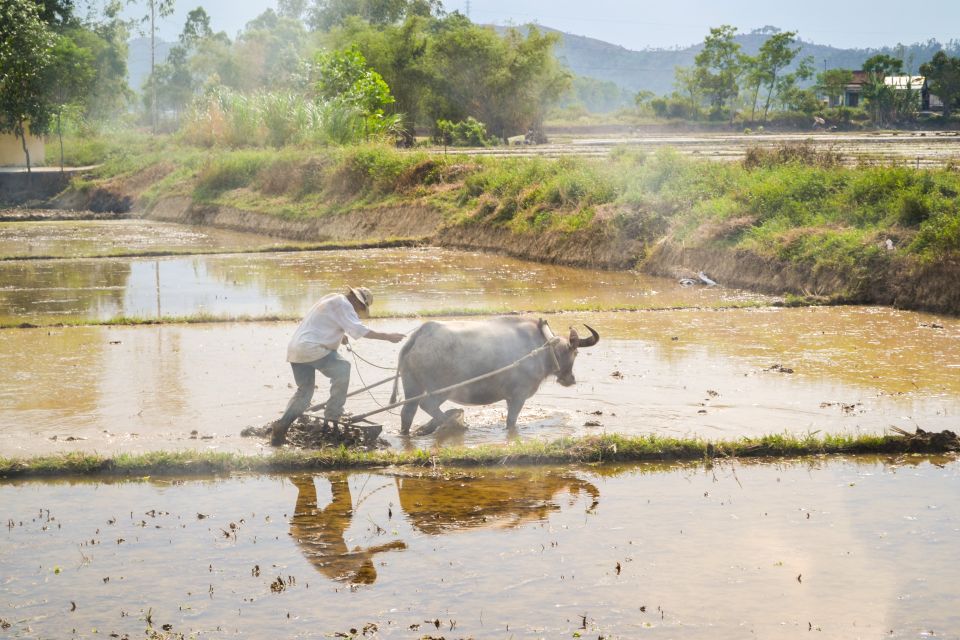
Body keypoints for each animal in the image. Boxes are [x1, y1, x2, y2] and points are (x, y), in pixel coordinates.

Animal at [386, 316, 596, 436]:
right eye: (575, 353)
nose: (570, 379)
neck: (541, 348)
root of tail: (419, 336)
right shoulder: (518, 396)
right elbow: (511, 422)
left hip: (412, 385)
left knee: (408, 412)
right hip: (442, 388)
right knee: (427, 405)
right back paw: (454, 425)